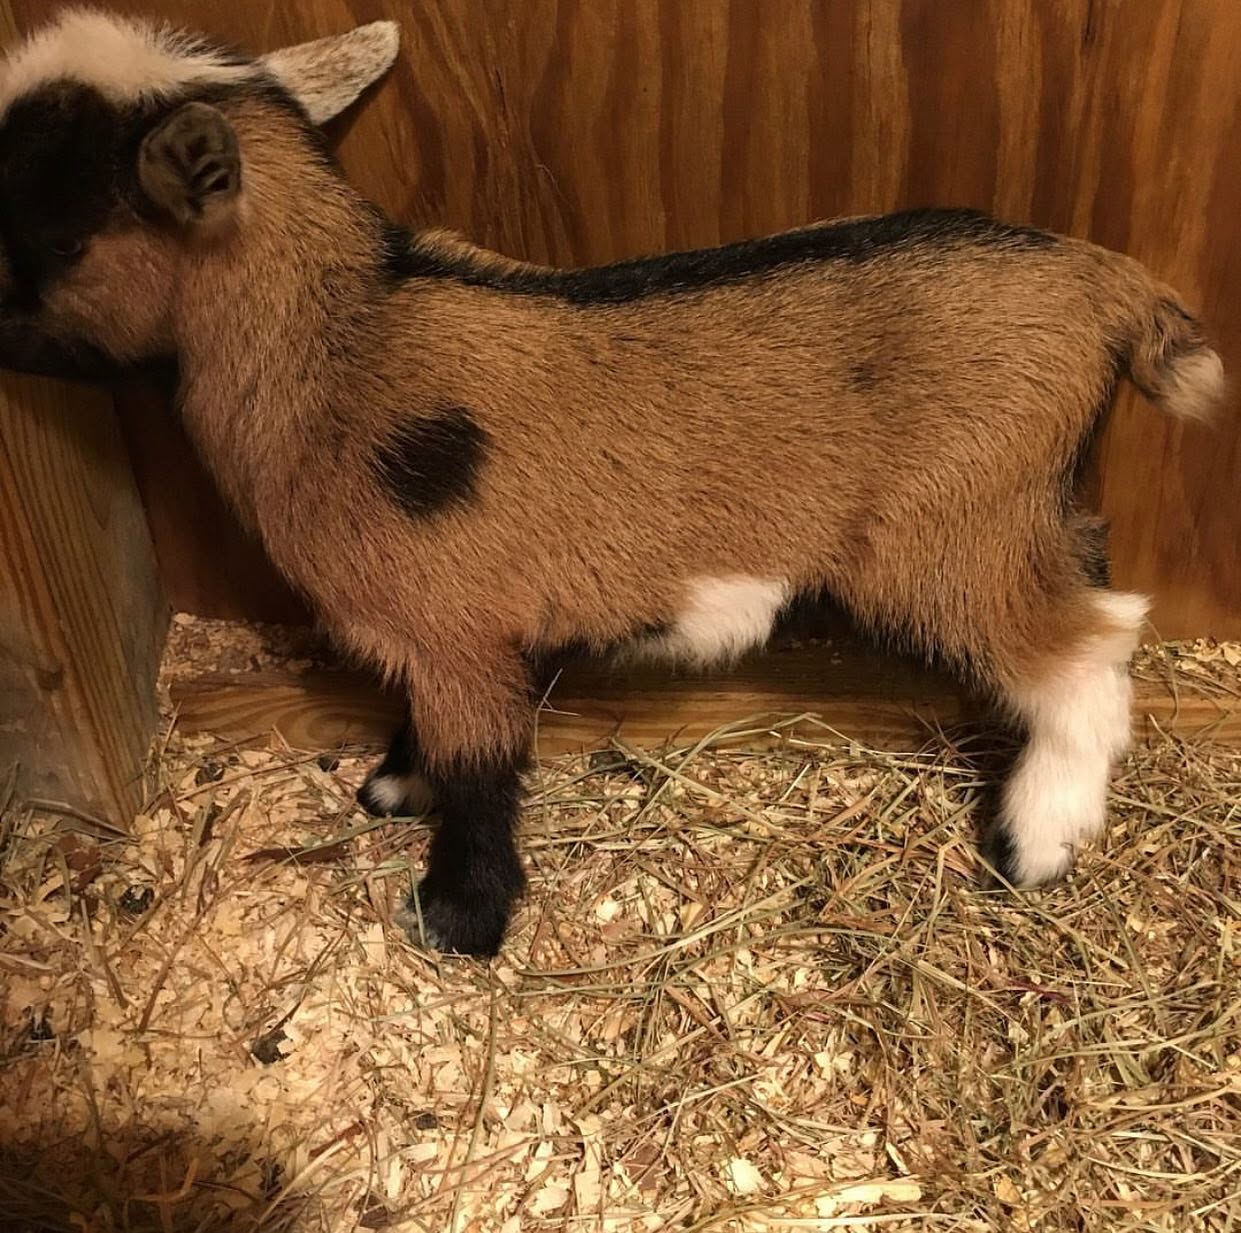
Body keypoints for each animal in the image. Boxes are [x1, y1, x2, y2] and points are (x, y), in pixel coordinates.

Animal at [0, 11, 1225, 955]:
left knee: (1088, 641)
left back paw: (1037, 840)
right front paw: (394, 787)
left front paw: (456, 918)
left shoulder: (458, 634)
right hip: (1027, 502)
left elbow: (481, 767)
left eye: (47, 236)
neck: (342, 344)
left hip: (948, 529)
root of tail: (1103, 285)